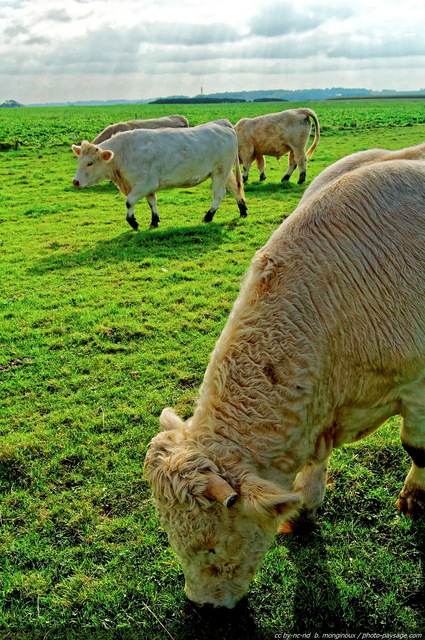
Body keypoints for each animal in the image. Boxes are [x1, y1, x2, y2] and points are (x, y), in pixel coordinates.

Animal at [71, 120, 247, 230]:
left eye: (90, 163)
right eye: (79, 160)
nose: (75, 181)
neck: (123, 152)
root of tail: (224, 126)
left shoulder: (145, 184)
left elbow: (129, 201)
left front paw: (133, 222)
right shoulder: (147, 186)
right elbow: (152, 202)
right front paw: (154, 220)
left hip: (220, 171)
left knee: (219, 194)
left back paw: (208, 216)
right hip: (224, 171)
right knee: (234, 188)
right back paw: (243, 210)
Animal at [143, 150, 424, 608]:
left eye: (212, 546)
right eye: (171, 537)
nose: (202, 605)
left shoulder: (418, 389)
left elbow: (416, 449)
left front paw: (414, 499)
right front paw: (304, 510)